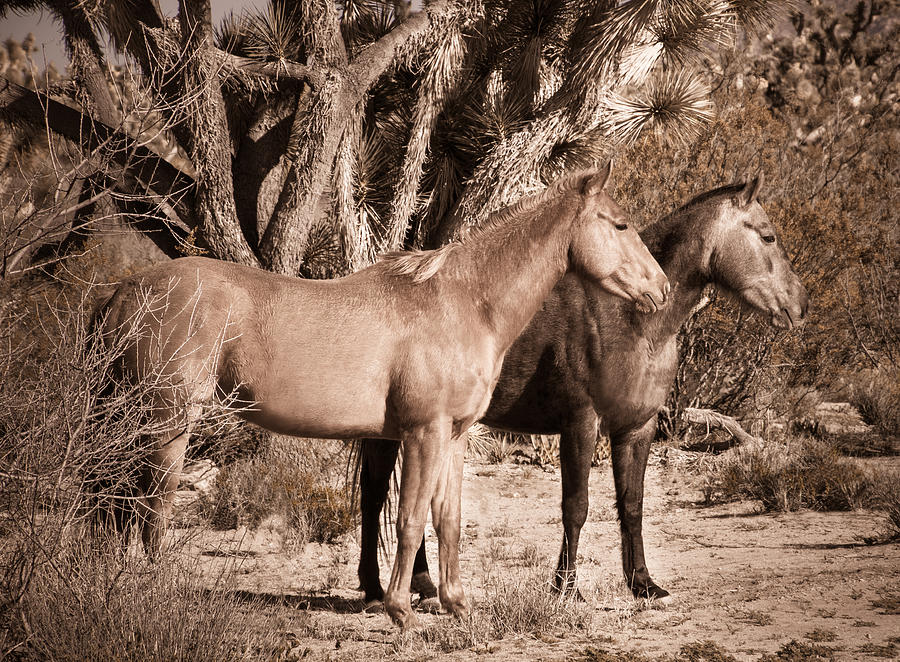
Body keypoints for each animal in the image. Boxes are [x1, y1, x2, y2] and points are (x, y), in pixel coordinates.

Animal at [93, 163, 668, 632]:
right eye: (620, 225)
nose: (660, 291)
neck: (463, 303)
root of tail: (128, 289)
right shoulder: (423, 432)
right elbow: (409, 520)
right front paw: (400, 609)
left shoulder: (454, 437)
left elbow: (447, 519)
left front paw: (457, 605)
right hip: (168, 419)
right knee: (154, 502)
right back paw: (155, 585)